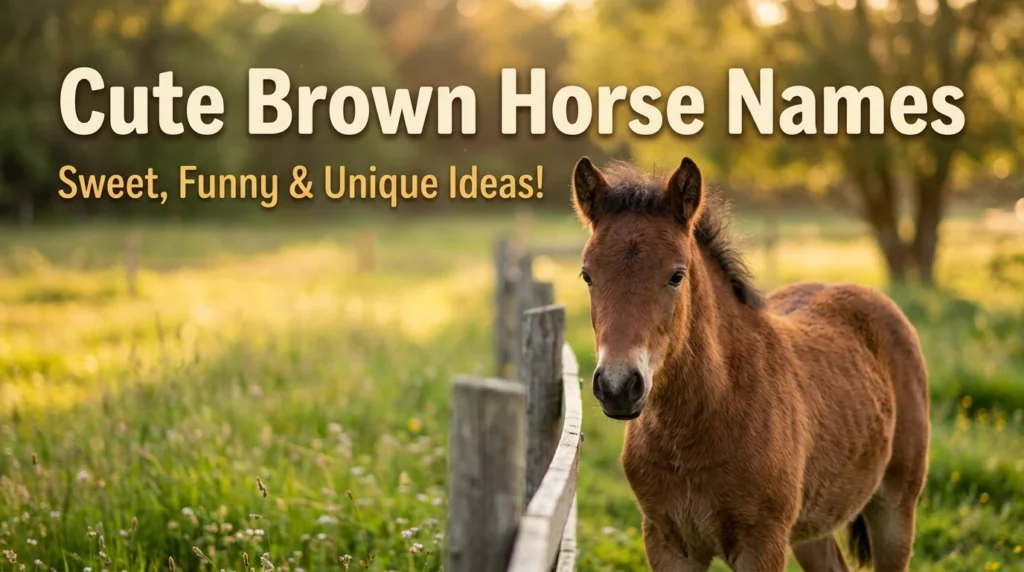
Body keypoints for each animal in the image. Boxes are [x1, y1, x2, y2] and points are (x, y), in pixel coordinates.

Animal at [570, 156, 930, 571]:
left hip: (895, 506)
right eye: (587, 275)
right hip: (812, 524)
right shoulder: (666, 541)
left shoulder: (762, 543)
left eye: (676, 275)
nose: (617, 386)